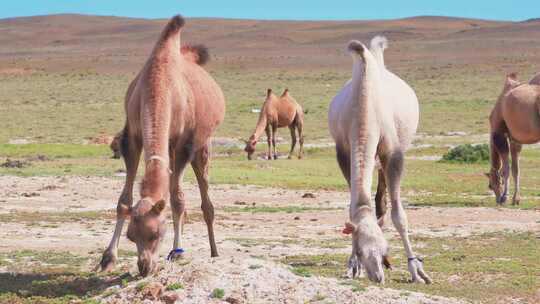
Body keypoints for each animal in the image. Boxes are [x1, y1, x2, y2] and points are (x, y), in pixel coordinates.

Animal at [99, 16, 226, 278]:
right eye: (131, 236)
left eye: (156, 234)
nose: (144, 267)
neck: (159, 85)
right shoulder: (132, 137)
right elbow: (124, 201)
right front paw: (108, 258)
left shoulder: (184, 144)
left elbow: (177, 200)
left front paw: (177, 252)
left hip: (203, 146)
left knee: (205, 199)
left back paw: (213, 251)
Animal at [326, 36, 432, 284]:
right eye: (360, 250)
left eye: (385, 248)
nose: (377, 276)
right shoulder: (343, 150)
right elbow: (353, 208)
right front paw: (352, 266)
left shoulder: (392, 152)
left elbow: (399, 215)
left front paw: (416, 270)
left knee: (383, 193)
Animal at [486, 72, 540, 204]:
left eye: (490, 185)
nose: (497, 200)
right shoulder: (515, 139)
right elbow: (516, 169)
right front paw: (516, 199)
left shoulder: (499, 134)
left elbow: (506, 168)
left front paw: (505, 197)